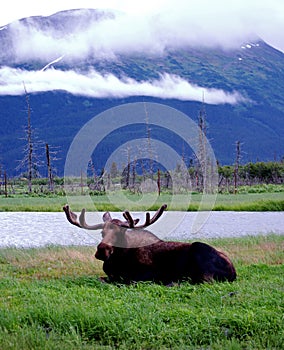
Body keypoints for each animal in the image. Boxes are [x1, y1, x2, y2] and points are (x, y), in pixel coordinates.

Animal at [63, 204, 236, 284]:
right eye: (102, 233)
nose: (102, 251)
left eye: (120, 233)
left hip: (199, 250)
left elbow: (125, 280)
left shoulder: (149, 273)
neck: (118, 261)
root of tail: (233, 273)